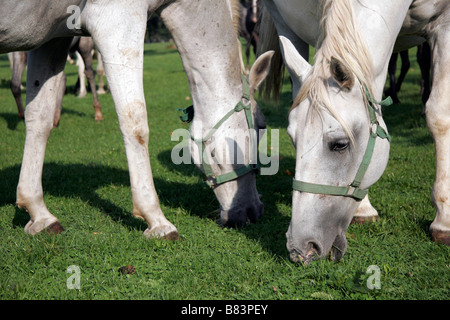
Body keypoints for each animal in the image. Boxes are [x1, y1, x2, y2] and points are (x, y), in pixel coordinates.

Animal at [0, 0, 270, 239]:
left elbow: (39, 118)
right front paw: (157, 220)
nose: (253, 211)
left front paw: (38, 213)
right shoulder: (118, 22)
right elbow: (135, 122)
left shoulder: (54, 38)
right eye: (262, 125)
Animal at [258, 0, 450, 264]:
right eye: (293, 141)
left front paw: (444, 219)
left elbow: (440, 115)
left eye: (340, 144)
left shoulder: (445, 25)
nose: (300, 247)